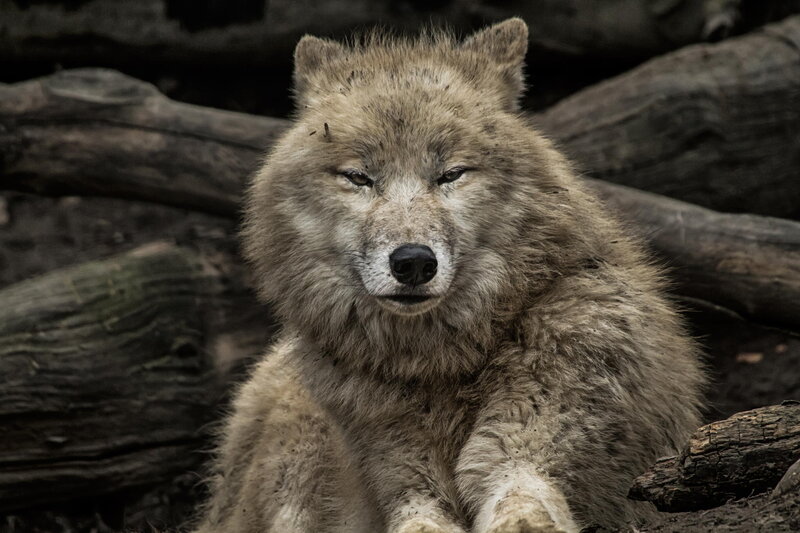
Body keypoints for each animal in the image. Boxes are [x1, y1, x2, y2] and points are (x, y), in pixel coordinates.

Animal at [193, 18, 705, 533]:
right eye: (359, 177)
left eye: (452, 173)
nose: (413, 262)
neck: (443, 364)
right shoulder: (403, 479)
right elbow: (420, 520)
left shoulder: (526, 446)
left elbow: (521, 500)